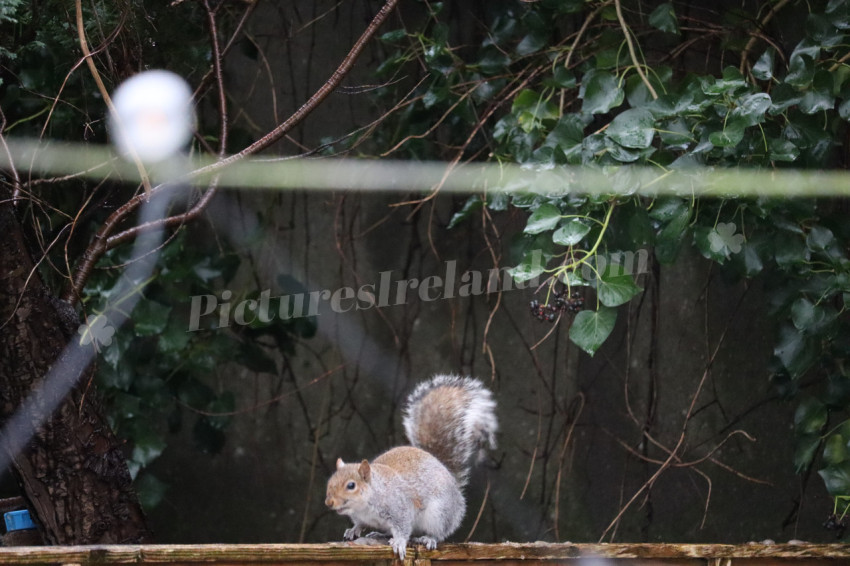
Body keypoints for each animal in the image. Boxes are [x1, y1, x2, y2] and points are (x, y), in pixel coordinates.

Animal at [325, 374, 498, 559]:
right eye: (330, 482)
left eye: (351, 485)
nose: (329, 502)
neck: (365, 504)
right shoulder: (361, 516)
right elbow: (359, 524)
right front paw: (353, 530)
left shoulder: (400, 508)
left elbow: (403, 528)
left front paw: (400, 543)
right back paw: (379, 534)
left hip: (439, 514)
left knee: (439, 532)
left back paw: (428, 538)